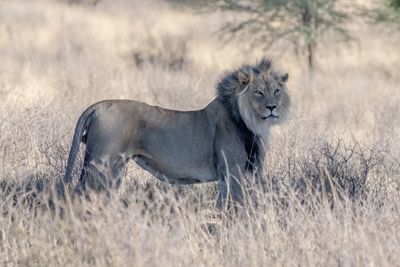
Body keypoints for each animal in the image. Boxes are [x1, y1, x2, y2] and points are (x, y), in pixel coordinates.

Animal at [64, 57, 292, 206]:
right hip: (103, 167)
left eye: (276, 91)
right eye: (258, 92)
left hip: (113, 169)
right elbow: (233, 204)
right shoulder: (231, 170)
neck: (252, 122)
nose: (272, 107)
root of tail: (98, 106)